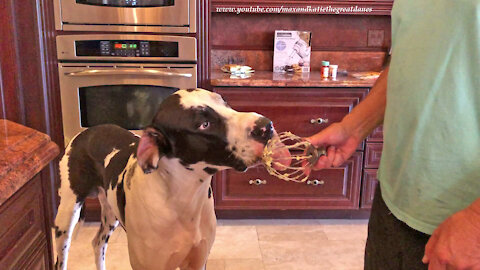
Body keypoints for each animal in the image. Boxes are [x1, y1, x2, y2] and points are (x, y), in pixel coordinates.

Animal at [53, 89, 278, 270]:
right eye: (204, 124)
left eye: (225, 103)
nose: (266, 125)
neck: (184, 201)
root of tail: (86, 132)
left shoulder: (198, 262)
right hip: (66, 218)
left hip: (109, 212)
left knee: (98, 243)